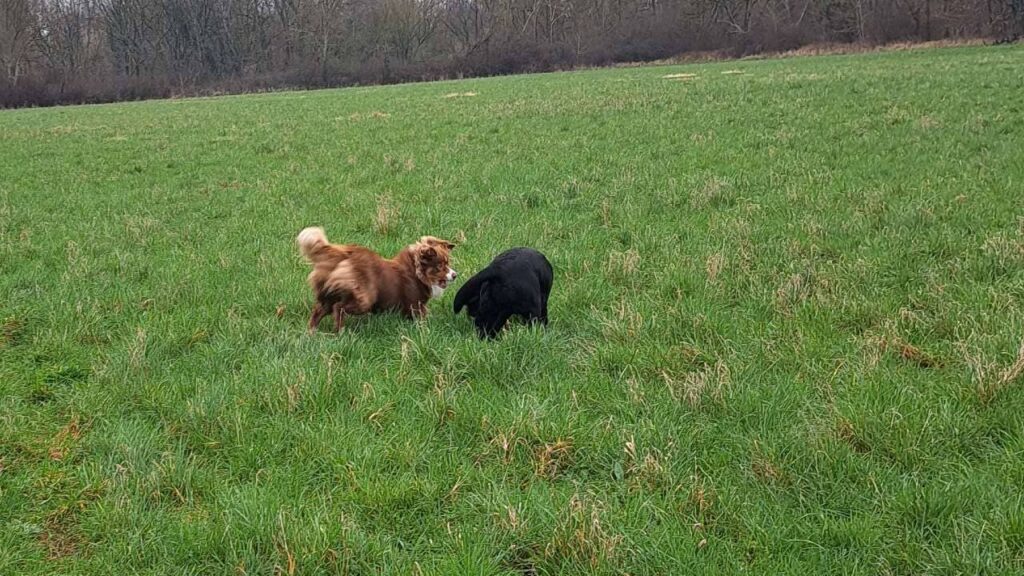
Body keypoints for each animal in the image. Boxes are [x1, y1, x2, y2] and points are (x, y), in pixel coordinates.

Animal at [296, 225, 456, 332]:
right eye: (440, 266)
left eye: (448, 262)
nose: (455, 275)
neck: (416, 273)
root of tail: (345, 253)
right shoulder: (415, 305)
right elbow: (422, 319)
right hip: (364, 298)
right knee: (338, 308)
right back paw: (340, 331)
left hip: (329, 294)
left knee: (318, 311)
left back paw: (311, 333)